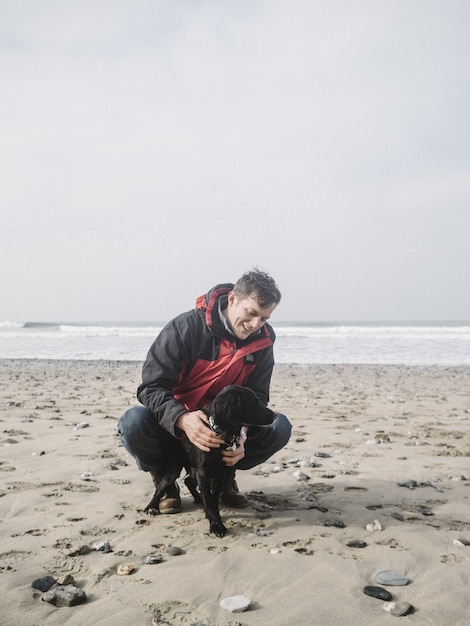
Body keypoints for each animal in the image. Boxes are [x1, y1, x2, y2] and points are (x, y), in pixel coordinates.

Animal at [143, 382, 276, 532]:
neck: (222, 431)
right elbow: (209, 500)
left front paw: (213, 516)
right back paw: (151, 507)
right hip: (175, 468)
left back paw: (198, 499)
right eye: (252, 402)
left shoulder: (220, 472)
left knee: (188, 481)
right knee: (161, 486)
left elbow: (213, 497)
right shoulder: (203, 473)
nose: (275, 416)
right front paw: (216, 525)